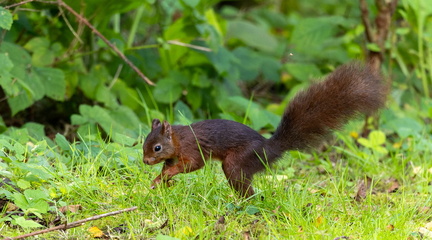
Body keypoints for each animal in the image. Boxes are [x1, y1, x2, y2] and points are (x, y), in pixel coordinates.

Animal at [142, 62, 388, 198]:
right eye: (145, 144)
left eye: (157, 147)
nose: (145, 161)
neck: (177, 139)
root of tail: (269, 148)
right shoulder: (173, 156)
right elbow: (167, 168)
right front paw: (159, 180)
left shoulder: (192, 148)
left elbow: (193, 164)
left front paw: (169, 175)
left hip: (237, 162)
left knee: (244, 187)